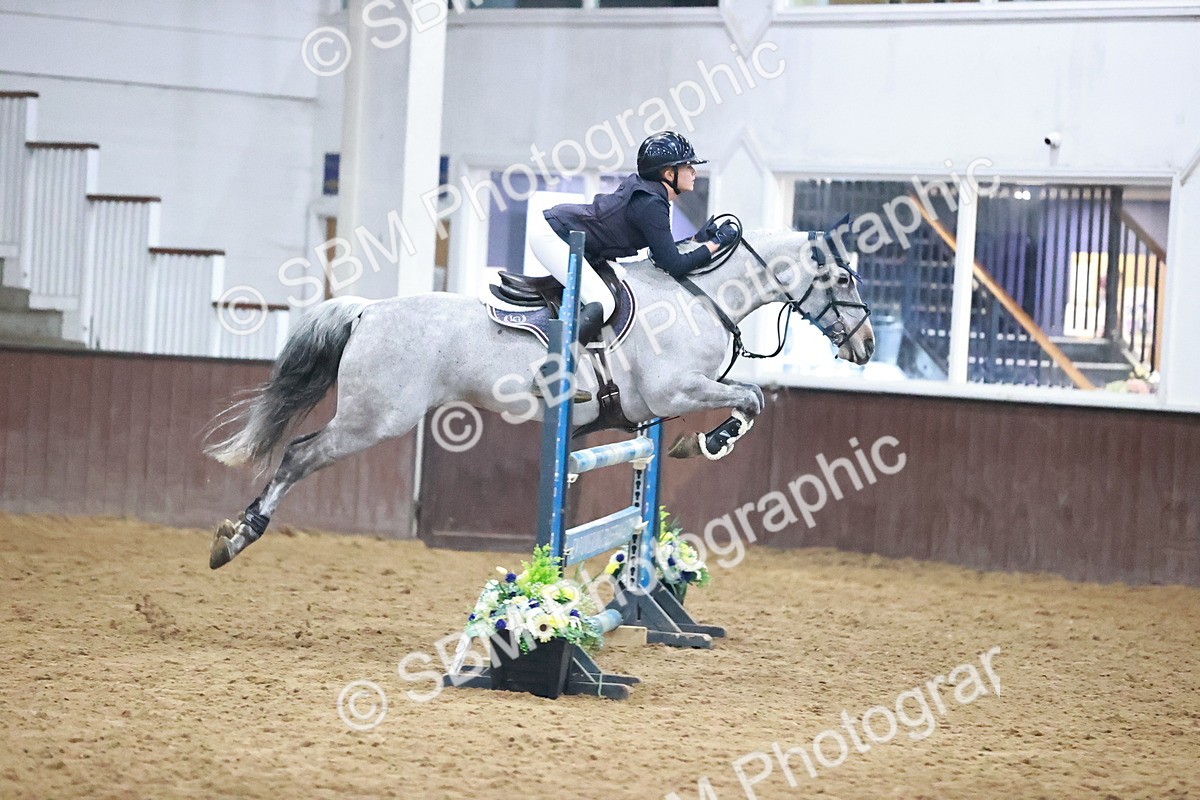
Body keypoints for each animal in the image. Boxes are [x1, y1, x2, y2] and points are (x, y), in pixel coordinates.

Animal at [204, 228, 874, 569]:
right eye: (842, 278)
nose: (866, 345)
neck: (698, 297)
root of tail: (369, 310)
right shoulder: (674, 390)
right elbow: (752, 399)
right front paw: (708, 441)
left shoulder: (654, 407)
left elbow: (747, 396)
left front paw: (700, 441)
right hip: (376, 418)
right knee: (298, 455)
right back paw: (237, 537)